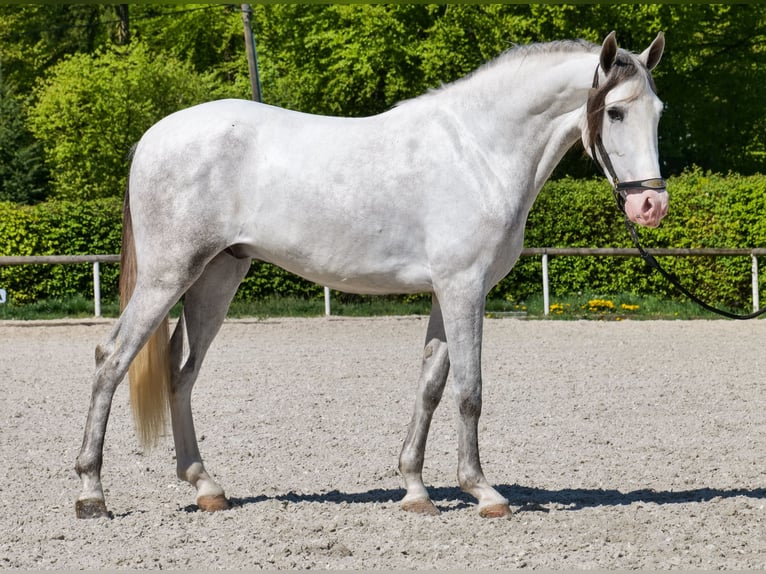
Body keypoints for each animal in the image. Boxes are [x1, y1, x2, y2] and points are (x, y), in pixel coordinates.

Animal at [75, 31, 667, 519]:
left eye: (658, 112)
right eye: (616, 113)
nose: (651, 206)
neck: (478, 150)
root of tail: (152, 138)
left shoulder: (446, 292)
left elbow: (430, 387)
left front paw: (416, 490)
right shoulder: (464, 288)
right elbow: (469, 390)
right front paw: (483, 492)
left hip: (216, 280)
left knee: (182, 373)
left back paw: (206, 487)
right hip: (168, 276)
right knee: (111, 358)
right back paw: (91, 493)